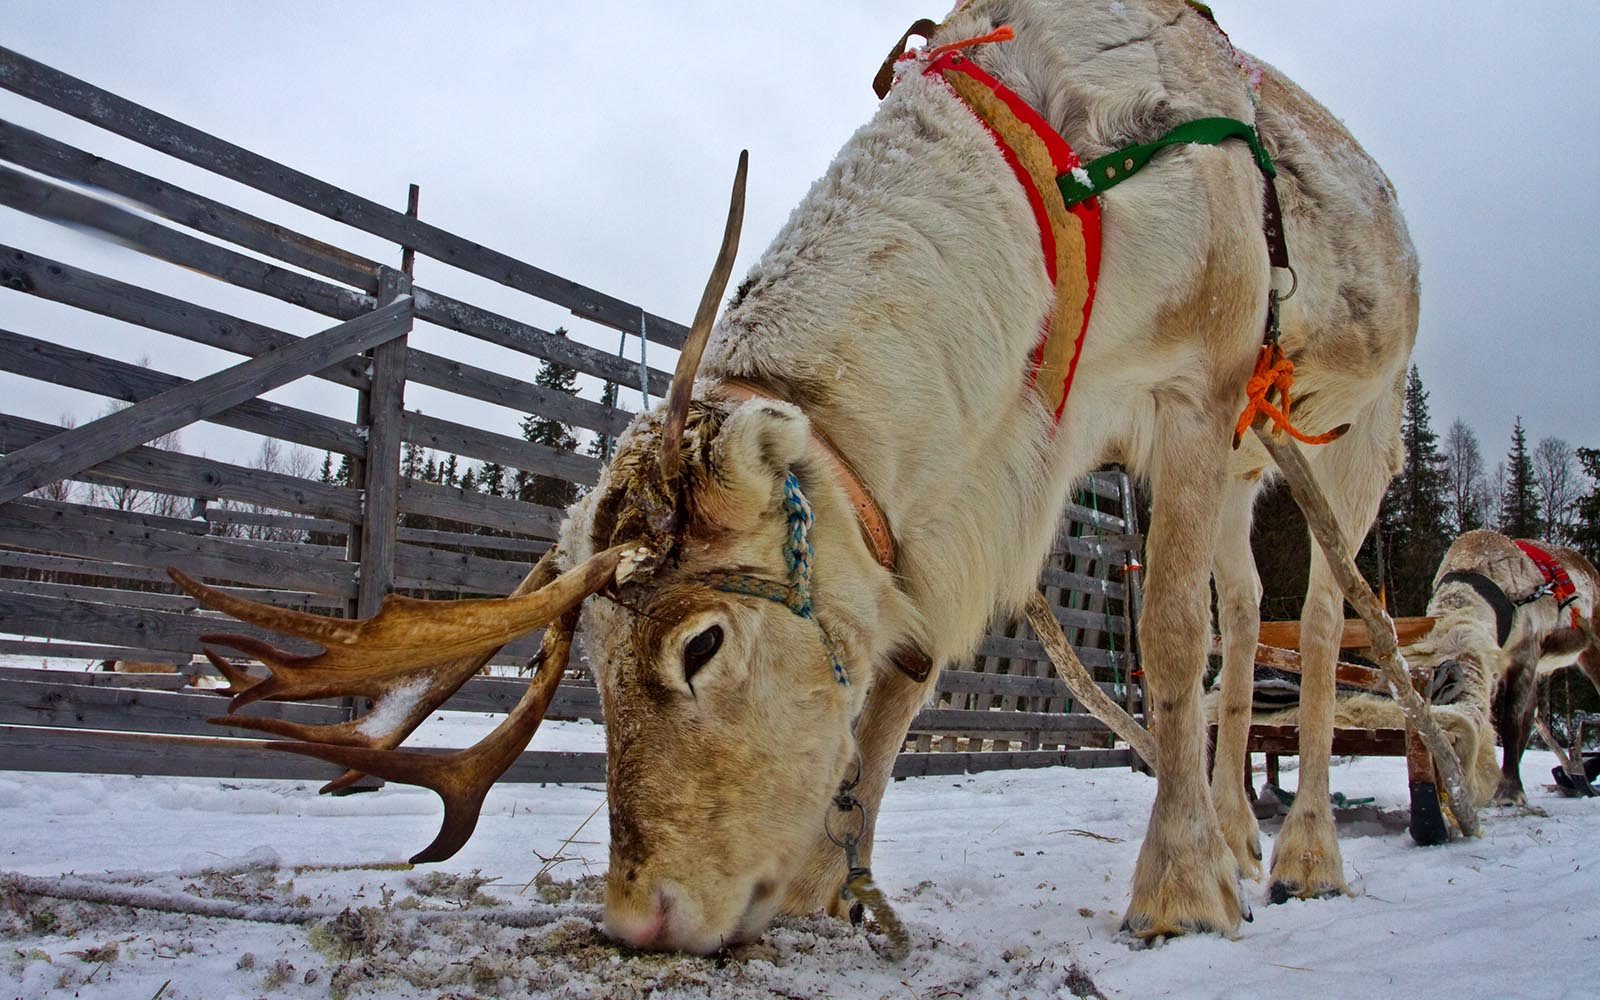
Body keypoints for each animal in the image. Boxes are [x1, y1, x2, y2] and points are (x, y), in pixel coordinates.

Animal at [168, 0, 1419, 950]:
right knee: (1246, 607)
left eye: (702, 642)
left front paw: (1179, 889)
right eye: (590, 671)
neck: (1056, 203)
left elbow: (1164, 637)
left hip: (1349, 431)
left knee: (1320, 622)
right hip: (1252, 467)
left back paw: (1301, 851)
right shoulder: (1010, 461)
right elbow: (909, 660)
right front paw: (833, 875)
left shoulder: (1195, 388)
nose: (639, 915)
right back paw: (1243, 830)